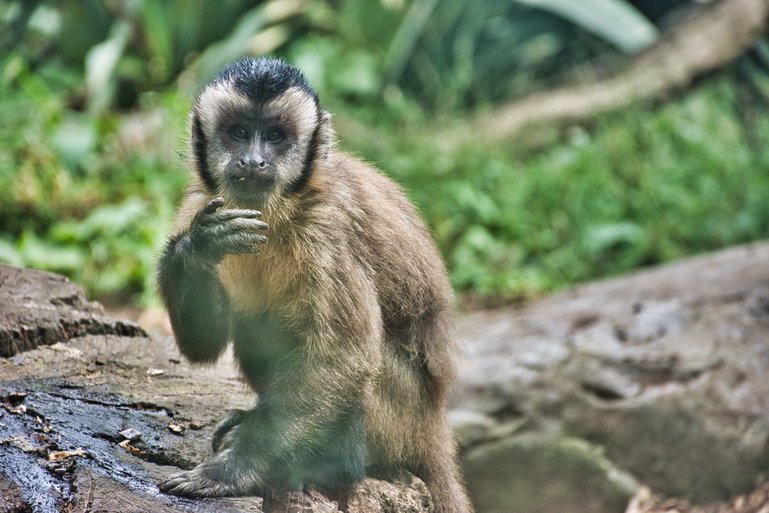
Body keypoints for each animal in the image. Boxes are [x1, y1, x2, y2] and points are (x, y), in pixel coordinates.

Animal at [156, 57, 472, 512]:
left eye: (274, 136)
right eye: (239, 133)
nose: (253, 161)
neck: (285, 207)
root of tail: (434, 422)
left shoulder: (326, 228)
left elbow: (344, 358)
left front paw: (232, 470)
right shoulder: (200, 204)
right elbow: (204, 344)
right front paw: (201, 248)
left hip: (403, 419)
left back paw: (338, 464)